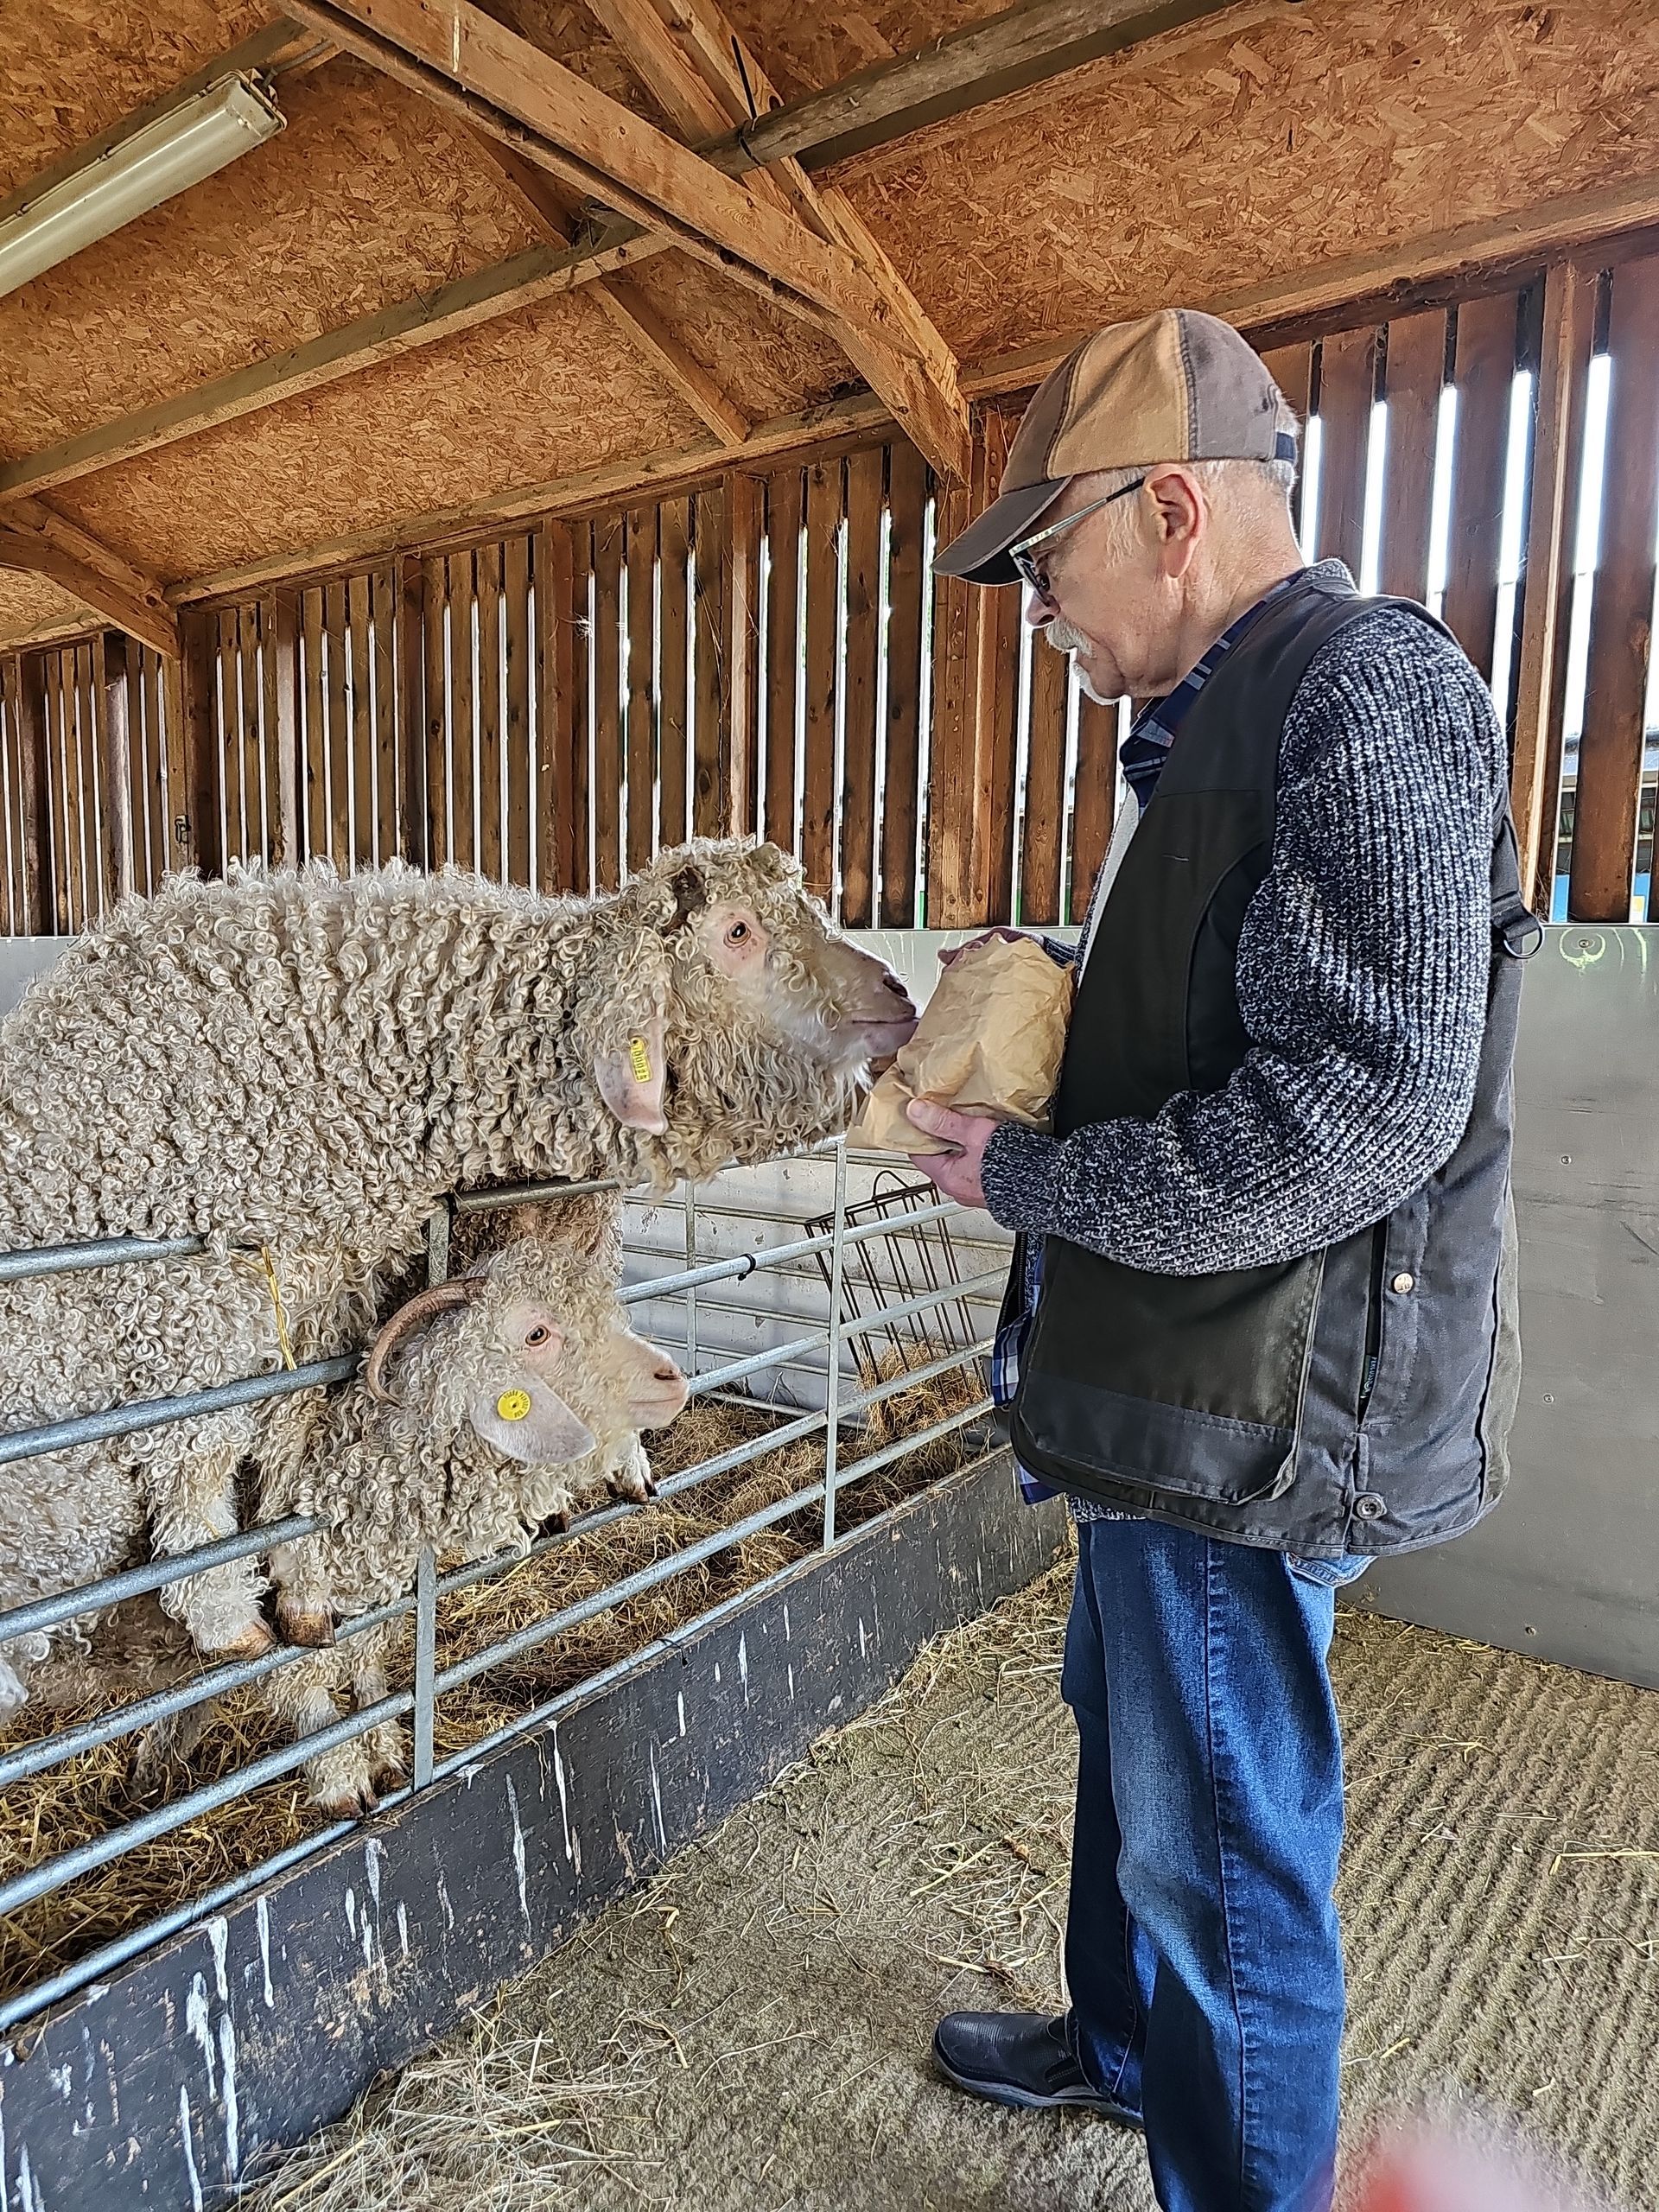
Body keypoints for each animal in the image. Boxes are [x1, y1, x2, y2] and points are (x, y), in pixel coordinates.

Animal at [0, 839, 914, 1677]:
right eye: (737, 931)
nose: (900, 994)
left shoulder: (332, 1291)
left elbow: (301, 1432)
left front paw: (300, 1584)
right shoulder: (187, 1309)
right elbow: (198, 1467)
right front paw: (231, 1617)